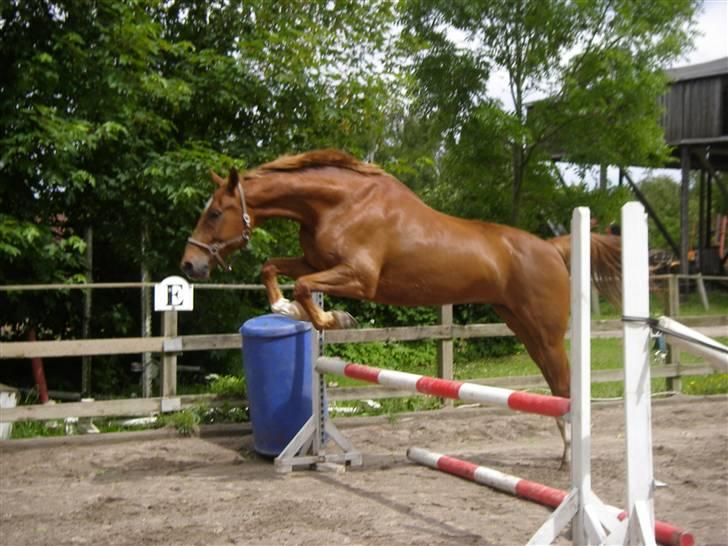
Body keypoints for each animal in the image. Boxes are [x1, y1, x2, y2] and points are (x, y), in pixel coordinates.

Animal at [182, 149, 620, 464]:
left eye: (214, 213)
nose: (189, 265)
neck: (337, 204)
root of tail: (552, 247)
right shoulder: (314, 262)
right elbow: (272, 267)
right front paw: (285, 308)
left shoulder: (359, 277)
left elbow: (305, 286)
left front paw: (333, 317)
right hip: (523, 327)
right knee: (555, 383)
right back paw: (564, 452)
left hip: (544, 333)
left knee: (563, 384)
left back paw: (569, 456)